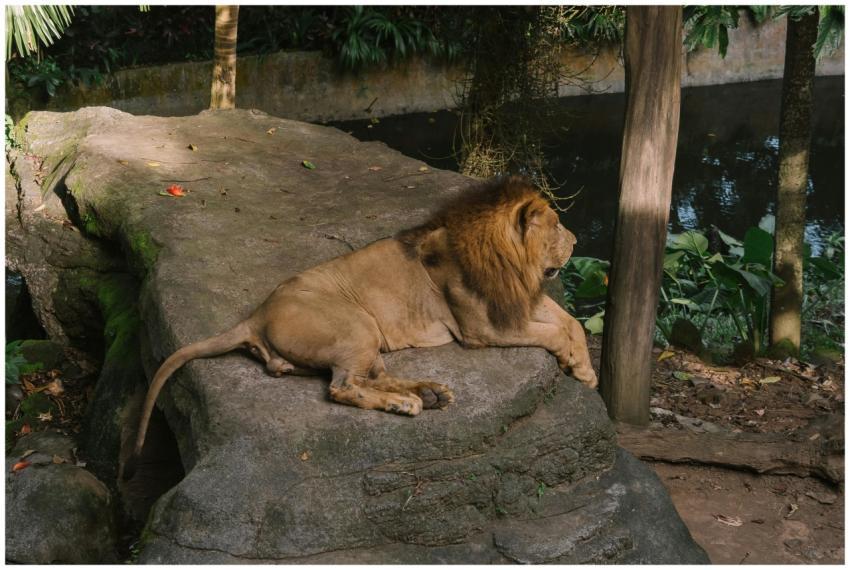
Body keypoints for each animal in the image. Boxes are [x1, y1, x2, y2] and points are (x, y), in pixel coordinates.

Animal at [124, 176, 597, 479]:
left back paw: (430, 393)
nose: (577, 241)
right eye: (556, 225)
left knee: (373, 376)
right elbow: (554, 332)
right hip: (358, 324)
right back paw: (407, 404)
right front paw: (577, 364)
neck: (513, 265)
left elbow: (569, 322)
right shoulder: (482, 327)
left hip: (364, 339)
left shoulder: (516, 301)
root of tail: (255, 313)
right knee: (344, 386)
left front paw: (588, 370)